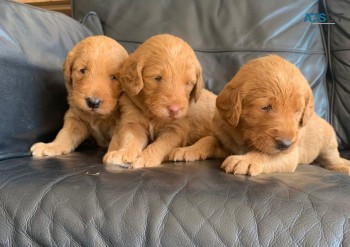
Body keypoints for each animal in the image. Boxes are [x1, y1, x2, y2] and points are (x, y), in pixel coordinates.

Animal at [102, 33, 216, 169]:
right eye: (157, 78)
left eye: (188, 83)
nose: (174, 110)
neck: (152, 114)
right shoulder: (132, 121)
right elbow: (130, 138)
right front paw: (124, 153)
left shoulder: (175, 129)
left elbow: (160, 145)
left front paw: (145, 158)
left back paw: (186, 151)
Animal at [172, 54, 350, 176]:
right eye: (265, 107)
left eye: (297, 111)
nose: (285, 144)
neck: (245, 138)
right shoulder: (224, 140)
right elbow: (208, 139)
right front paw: (188, 149)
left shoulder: (289, 155)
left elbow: (267, 154)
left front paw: (246, 160)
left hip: (329, 141)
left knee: (332, 158)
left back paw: (343, 166)